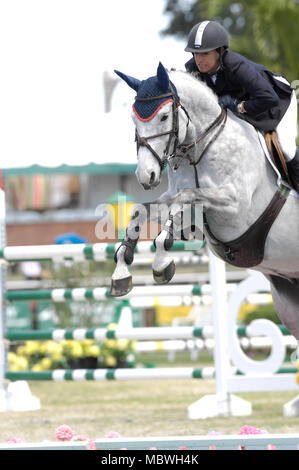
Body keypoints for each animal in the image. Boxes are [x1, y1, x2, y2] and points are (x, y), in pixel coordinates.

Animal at [111, 62, 299, 342]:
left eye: (164, 117)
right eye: (134, 119)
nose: (146, 176)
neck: (201, 146)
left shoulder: (235, 207)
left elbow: (186, 197)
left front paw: (162, 261)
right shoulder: (180, 203)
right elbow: (141, 211)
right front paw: (121, 271)